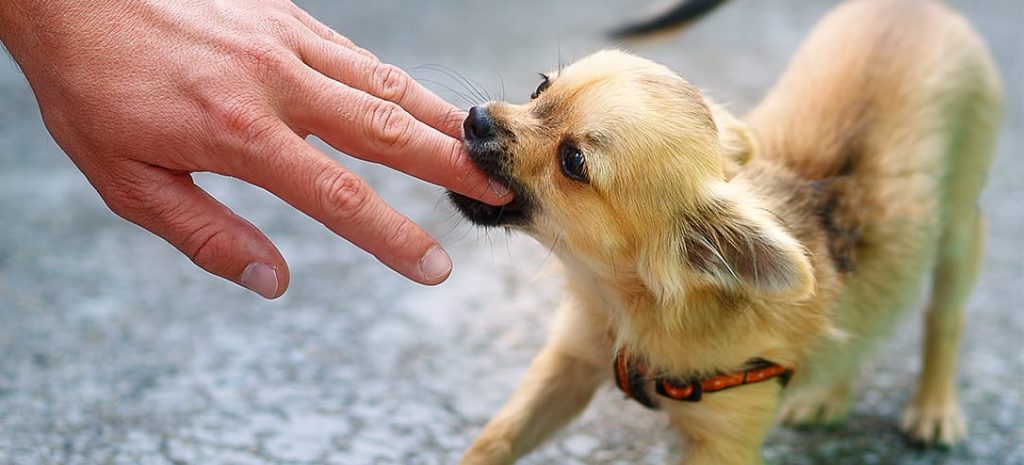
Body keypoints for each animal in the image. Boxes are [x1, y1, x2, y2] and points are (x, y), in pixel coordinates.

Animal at [446, 1, 999, 462]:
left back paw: (933, 407)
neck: (628, 305)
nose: (475, 120)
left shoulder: (722, 443)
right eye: (540, 89)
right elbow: (496, 439)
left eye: (573, 162)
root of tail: (914, 6)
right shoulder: (571, 362)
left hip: (960, 230)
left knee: (944, 317)